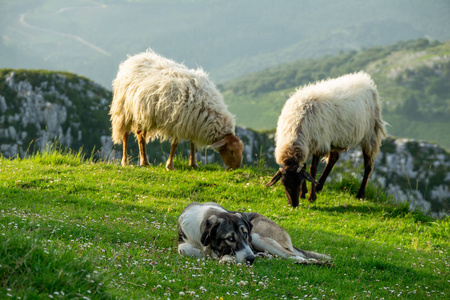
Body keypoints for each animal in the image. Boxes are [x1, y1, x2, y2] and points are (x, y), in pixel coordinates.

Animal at [109, 50, 243, 170]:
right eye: (231, 151)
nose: (235, 168)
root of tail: (132, 59)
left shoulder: (193, 123)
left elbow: (192, 143)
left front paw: (193, 164)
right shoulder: (178, 122)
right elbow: (175, 144)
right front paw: (170, 165)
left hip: (144, 113)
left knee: (140, 134)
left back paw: (143, 161)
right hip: (125, 109)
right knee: (126, 135)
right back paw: (129, 162)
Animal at [178, 203, 332, 266]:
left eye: (245, 234)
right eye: (230, 238)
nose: (251, 259)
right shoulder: (183, 241)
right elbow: (183, 248)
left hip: (258, 237)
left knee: (294, 255)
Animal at [268, 71, 386, 206]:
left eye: (299, 181)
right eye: (283, 183)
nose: (294, 204)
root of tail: (365, 79)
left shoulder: (318, 144)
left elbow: (312, 169)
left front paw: (311, 197)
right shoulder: (307, 146)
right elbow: (304, 167)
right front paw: (303, 193)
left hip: (370, 134)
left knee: (368, 166)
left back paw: (360, 194)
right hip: (336, 139)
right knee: (333, 159)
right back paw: (319, 186)